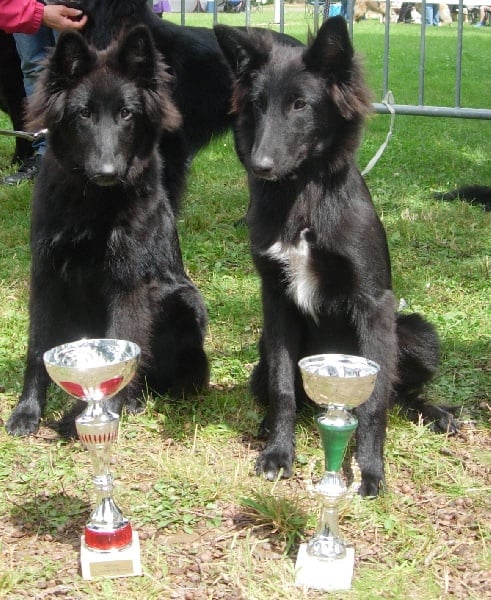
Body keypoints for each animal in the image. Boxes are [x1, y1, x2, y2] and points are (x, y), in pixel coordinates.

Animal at [6, 25, 209, 437]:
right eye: (83, 113)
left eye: (126, 113)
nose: (106, 172)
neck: (93, 205)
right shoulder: (46, 276)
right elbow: (37, 348)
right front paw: (27, 411)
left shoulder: (128, 282)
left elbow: (124, 337)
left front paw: (101, 409)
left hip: (184, 301)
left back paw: (131, 400)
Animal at [214, 17, 458, 497]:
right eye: (257, 105)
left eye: (300, 104)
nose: (259, 166)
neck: (302, 196)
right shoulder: (276, 302)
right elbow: (284, 388)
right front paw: (278, 453)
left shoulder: (373, 304)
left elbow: (375, 401)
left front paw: (370, 470)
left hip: (417, 332)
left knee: (398, 391)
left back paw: (434, 412)